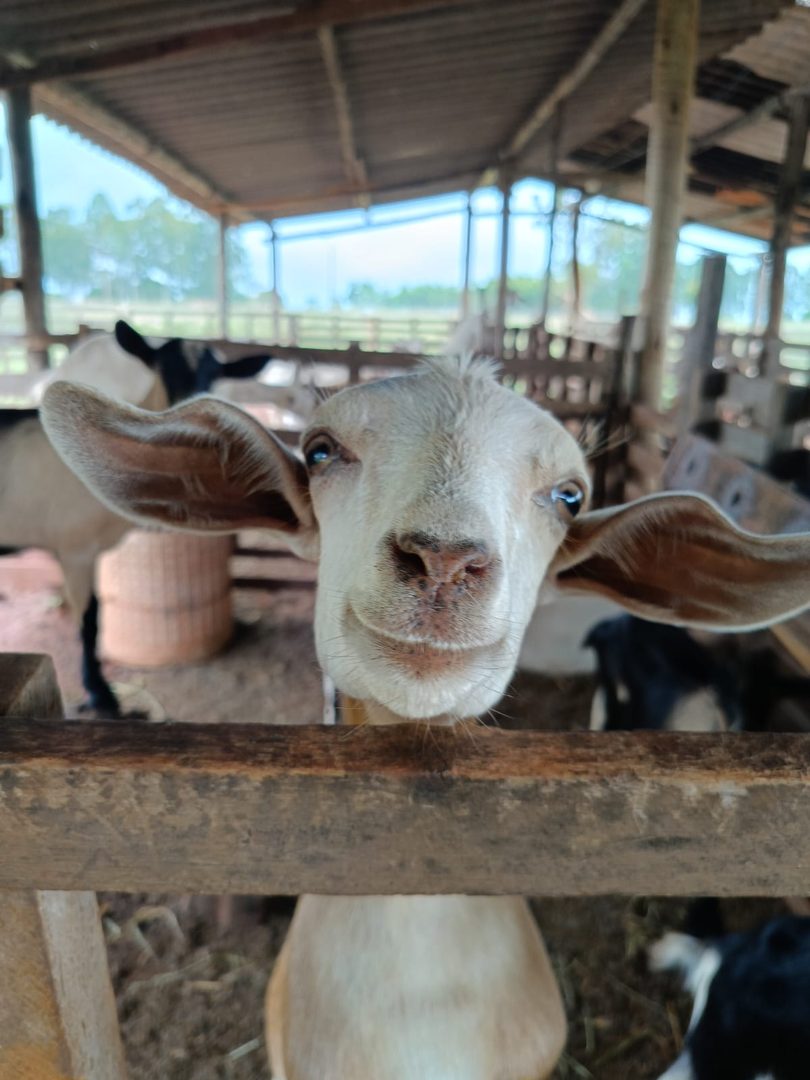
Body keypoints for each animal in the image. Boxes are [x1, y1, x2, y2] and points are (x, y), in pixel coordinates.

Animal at [0, 319, 272, 715]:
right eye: (162, 369)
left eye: (214, 376)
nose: (193, 433)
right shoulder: (75, 547)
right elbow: (89, 621)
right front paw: (101, 695)